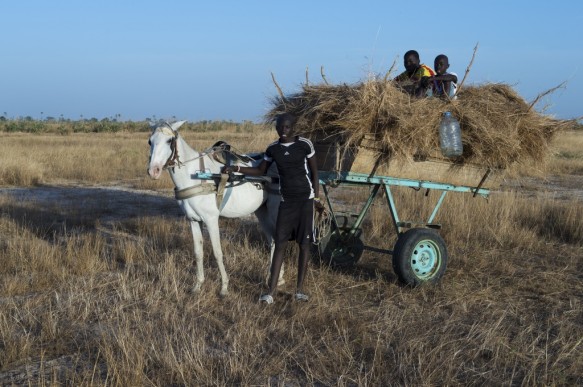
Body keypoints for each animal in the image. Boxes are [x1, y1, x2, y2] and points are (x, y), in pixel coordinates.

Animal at [147, 121, 282, 298]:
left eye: (169, 140)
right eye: (150, 141)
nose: (153, 171)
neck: (196, 177)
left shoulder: (211, 220)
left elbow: (217, 252)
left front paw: (224, 287)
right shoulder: (193, 220)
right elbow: (198, 252)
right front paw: (198, 285)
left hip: (275, 211)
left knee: (279, 241)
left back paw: (277, 279)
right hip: (262, 212)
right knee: (272, 241)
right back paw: (273, 277)